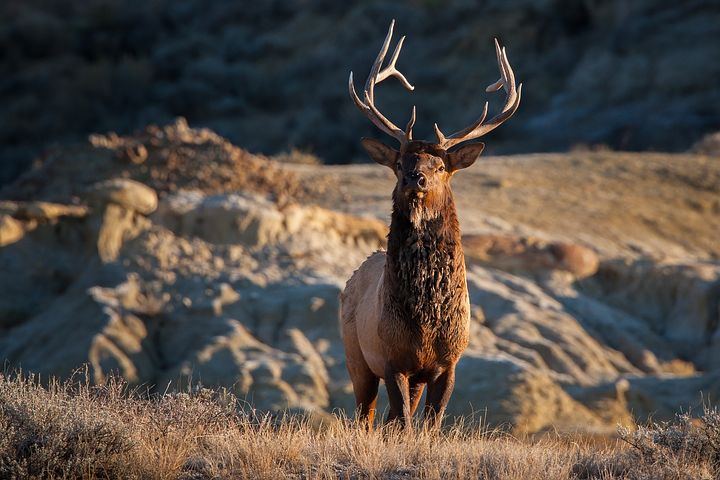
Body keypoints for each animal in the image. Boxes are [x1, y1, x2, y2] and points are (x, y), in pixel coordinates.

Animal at [340, 20, 522, 430]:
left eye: (439, 166)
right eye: (399, 162)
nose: (415, 178)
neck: (426, 321)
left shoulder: (448, 362)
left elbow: (430, 425)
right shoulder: (392, 357)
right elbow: (406, 423)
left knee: (387, 418)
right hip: (356, 356)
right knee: (367, 415)